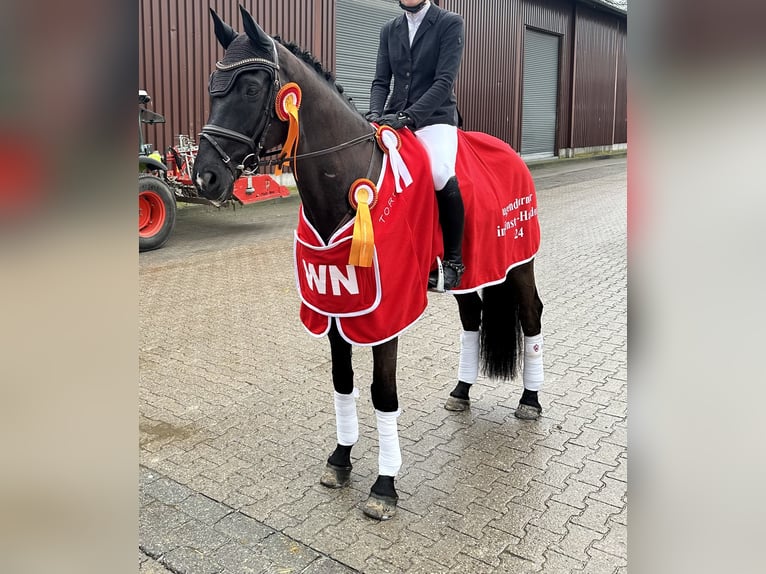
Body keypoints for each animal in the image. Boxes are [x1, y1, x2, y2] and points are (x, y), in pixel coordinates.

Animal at [195, 6, 548, 524]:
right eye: (212, 88)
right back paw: (461, 392)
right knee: (472, 317)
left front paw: (384, 487)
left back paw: (530, 400)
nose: (205, 177)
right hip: (470, 276)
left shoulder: (385, 313)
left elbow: (384, 392)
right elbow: (343, 383)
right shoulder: (336, 305)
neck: (346, 184)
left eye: (251, 89)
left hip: (520, 263)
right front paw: (340, 460)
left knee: (530, 315)